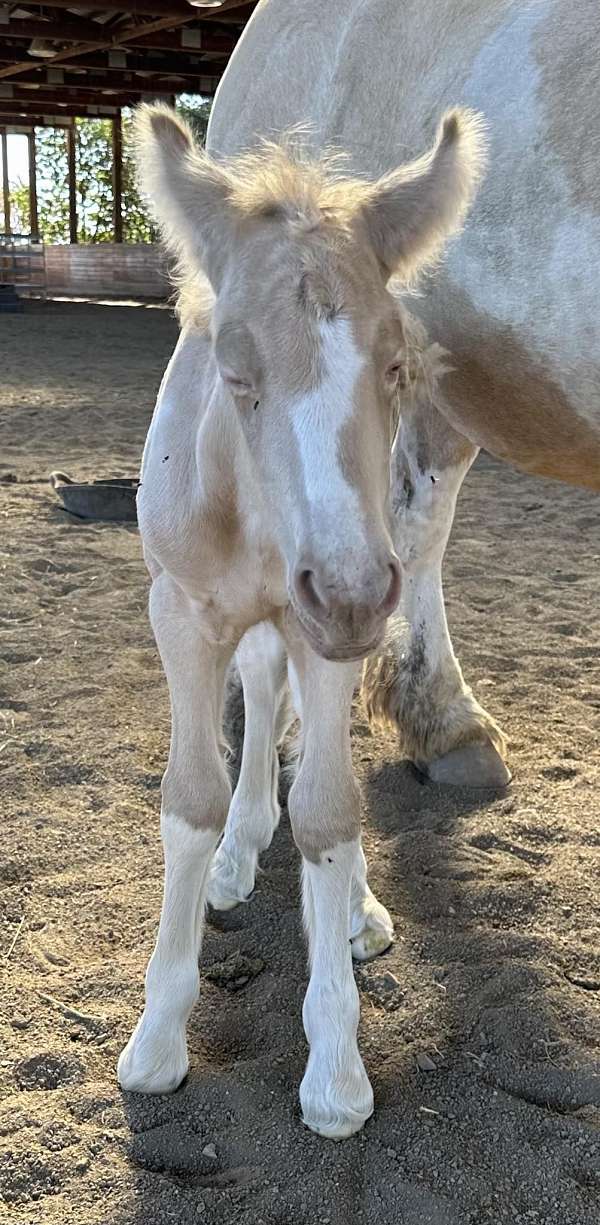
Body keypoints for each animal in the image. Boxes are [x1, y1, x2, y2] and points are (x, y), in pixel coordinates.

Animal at [118, 105, 487, 1136]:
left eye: (398, 364)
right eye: (234, 368)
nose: (356, 591)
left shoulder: (330, 620)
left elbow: (328, 806)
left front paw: (336, 1070)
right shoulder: (181, 610)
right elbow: (190, 797)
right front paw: (156, 1042)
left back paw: (355, 908)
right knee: (257, 688)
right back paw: (240, 855)